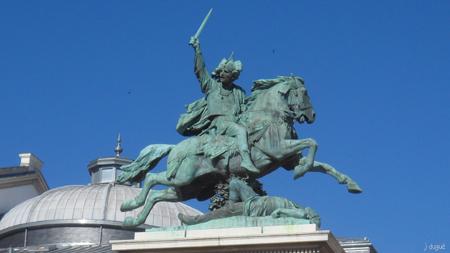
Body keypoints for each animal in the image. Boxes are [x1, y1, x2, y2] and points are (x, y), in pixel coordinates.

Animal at [117, 75, 362, 227]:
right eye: (303, 92)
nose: (311, 116)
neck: (270, 116)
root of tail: (176, 147)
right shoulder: (278, 150)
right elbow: (312, 142)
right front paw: (302, 171)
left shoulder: (288, 158)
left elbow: (324, 165)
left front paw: (350, 183)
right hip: (183, 177)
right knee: (151, 178)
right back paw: (131, 204)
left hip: (188, 187)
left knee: (157, 195)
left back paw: (133, 219)